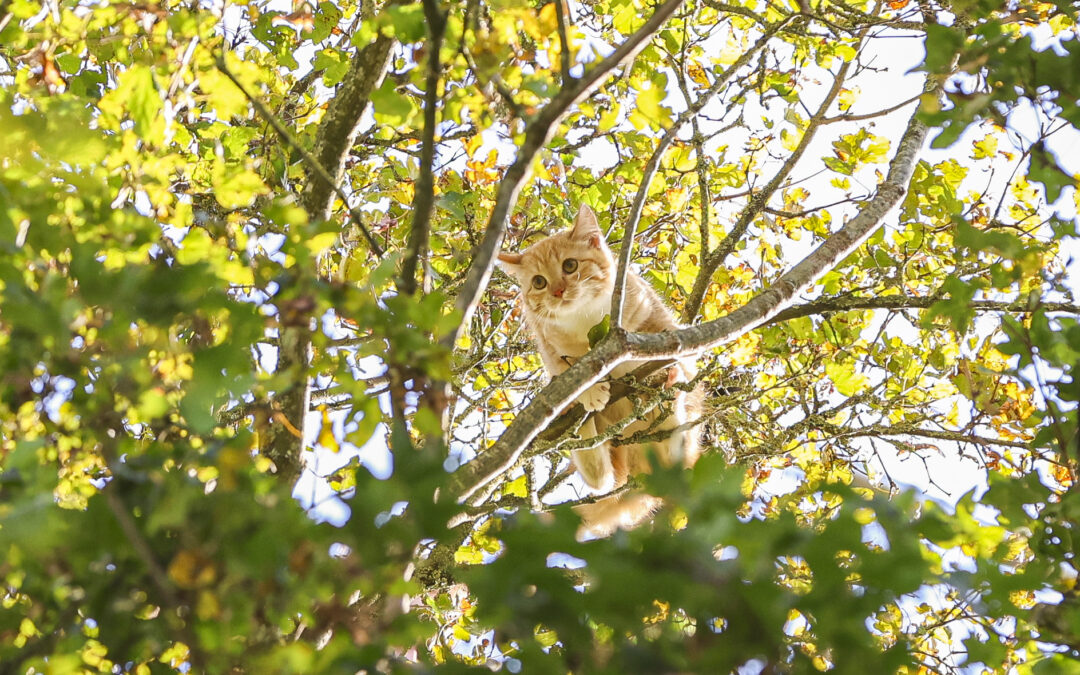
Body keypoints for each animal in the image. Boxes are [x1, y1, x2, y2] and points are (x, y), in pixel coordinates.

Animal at [494, 204, 704, 537]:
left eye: (569, 265)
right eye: (539, 282)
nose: (558, 291)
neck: (585, 320)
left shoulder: (655, 319)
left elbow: (670, 347)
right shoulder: (548, 345)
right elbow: (570, 365)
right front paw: (589, 387)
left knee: (672, 450)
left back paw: (669, 396)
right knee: (599, 477)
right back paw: (578, 416)